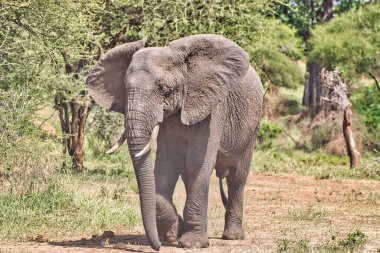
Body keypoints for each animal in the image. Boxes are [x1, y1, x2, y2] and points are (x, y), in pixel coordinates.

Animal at [86, 34, 264, 251]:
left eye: (163, 89)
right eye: (126, 89)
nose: (157, 246)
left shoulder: (213, 108)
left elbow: (198, 162)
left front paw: (192, 243)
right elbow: (166, 166)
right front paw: (174, 233)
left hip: (252, 126)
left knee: (237, 176)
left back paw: (232, 236)